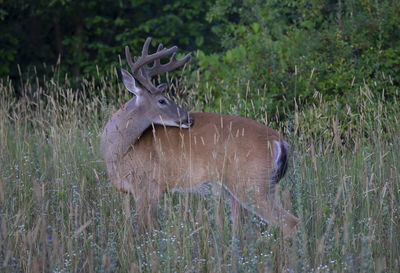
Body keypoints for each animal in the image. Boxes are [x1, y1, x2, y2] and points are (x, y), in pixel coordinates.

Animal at [101, 37, 298, 237]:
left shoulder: (149, 186)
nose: (189, 118)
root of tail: (280, 141)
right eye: (162, 100)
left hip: (252, 183)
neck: (122, 152)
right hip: (244, 189)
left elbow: (144, 229)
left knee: (290, 222)